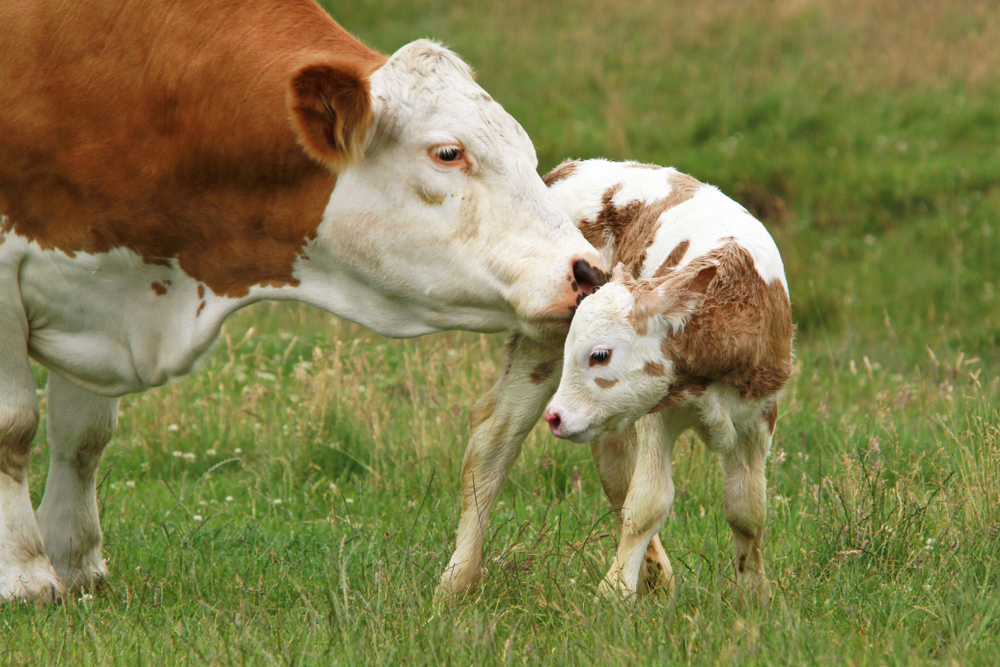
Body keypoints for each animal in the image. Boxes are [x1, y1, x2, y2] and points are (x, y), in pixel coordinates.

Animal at [0, 0, 604, 604]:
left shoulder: (98, 301)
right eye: (448, 153)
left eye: (527, 154)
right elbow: (15, 425)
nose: (589, 271)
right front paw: (27, 575)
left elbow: (83, 437)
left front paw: (77, 565)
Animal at [438, 159, 788, 604]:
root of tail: (567, 169)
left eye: (600, 355)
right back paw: (456, 580)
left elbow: (747, 508)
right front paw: (613, 593)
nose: (555, 417)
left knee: (614, 461)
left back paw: (658, 580)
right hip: (538, 346)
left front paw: (753, 597)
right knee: (494, 440)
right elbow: (648, 502)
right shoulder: (659, 413)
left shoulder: (759, 417)